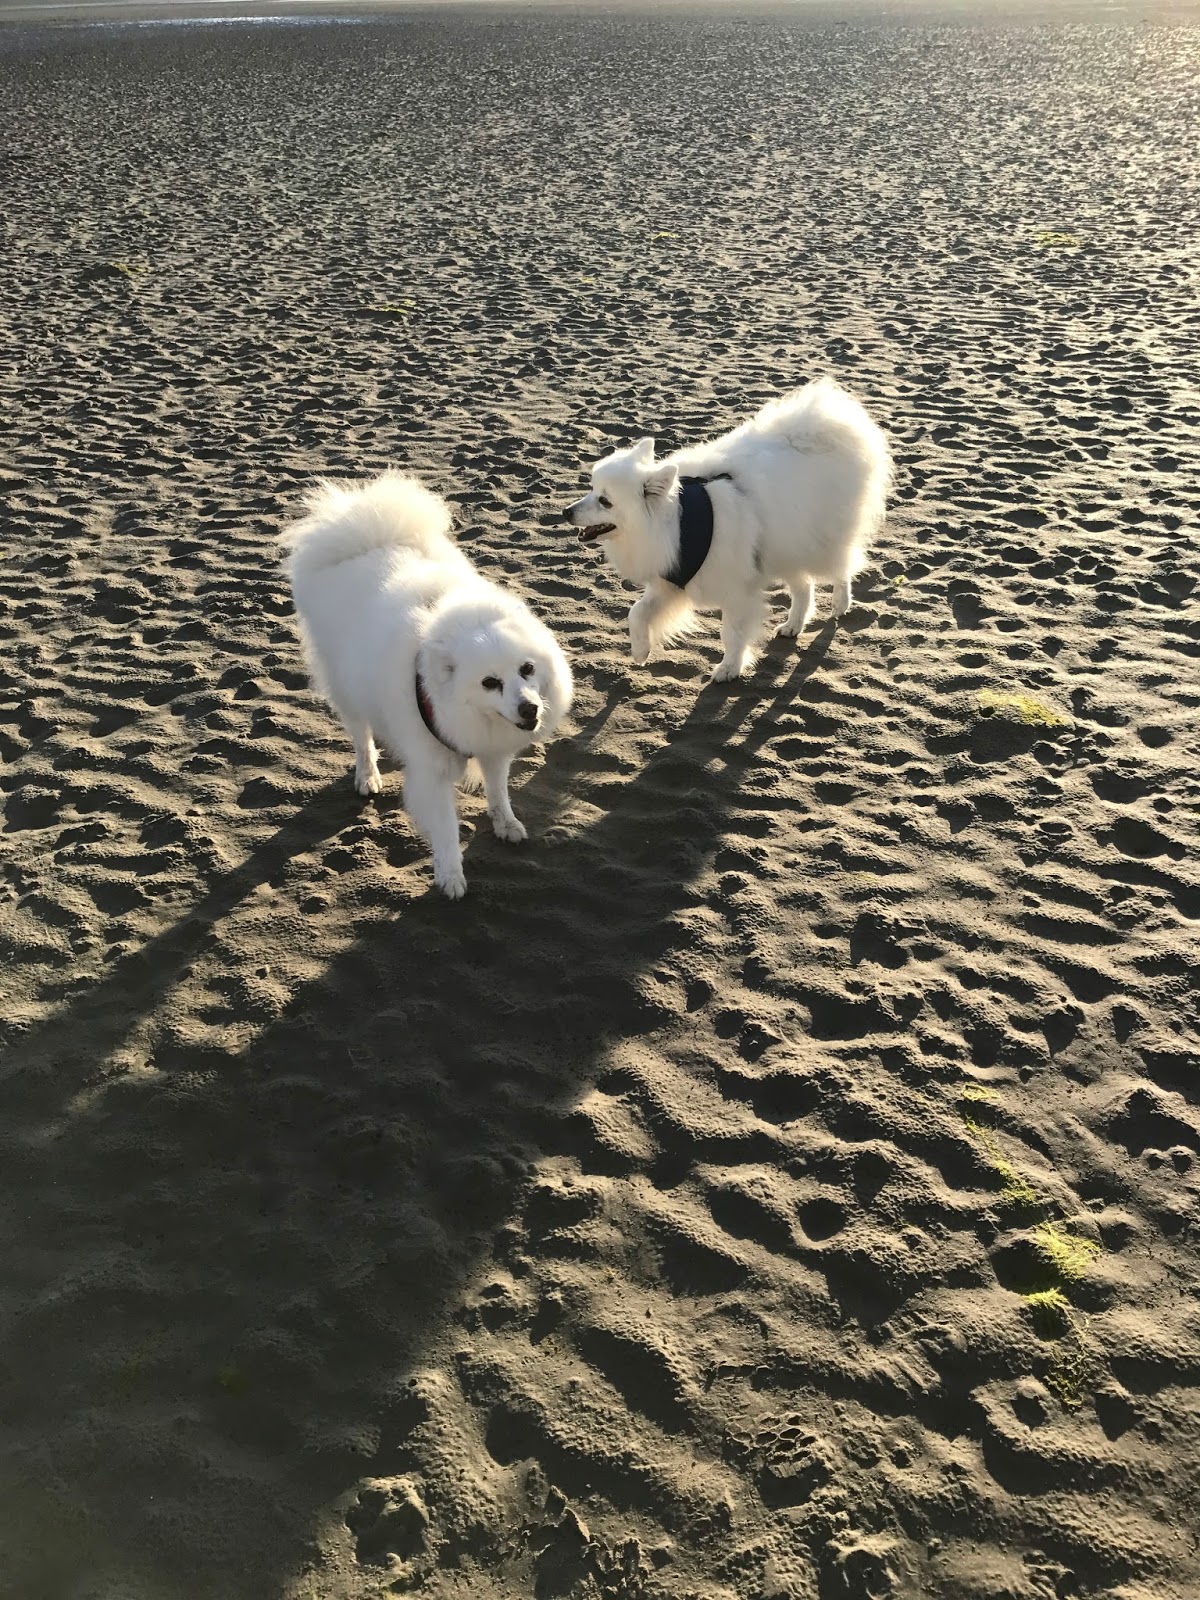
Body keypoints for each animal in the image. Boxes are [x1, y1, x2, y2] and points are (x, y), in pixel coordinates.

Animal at [280, 472, 572, 899]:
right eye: (490, 683)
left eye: (527, 669)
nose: (530, 708)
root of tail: (364, 534)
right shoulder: (432, 773)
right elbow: (447, 829)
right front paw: (450, 876)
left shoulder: (493, 748)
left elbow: (498, 791)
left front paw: (505, 823)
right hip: (345, 687)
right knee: (361, 736)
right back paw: (367, 775)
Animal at [564, 378, 892, 681]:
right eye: (592, 489)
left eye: (605, 501)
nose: (566, 512)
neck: (675, 522)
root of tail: (832, 423)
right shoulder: (670, 580)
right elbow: (638, 612)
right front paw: (640, 650)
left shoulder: (736, 591)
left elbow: (731, 634)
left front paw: (729, 669)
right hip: (786, 545)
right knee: (804, 587)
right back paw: (793, 625)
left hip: (819, 541)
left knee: (843, 567)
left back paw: (840, 603)